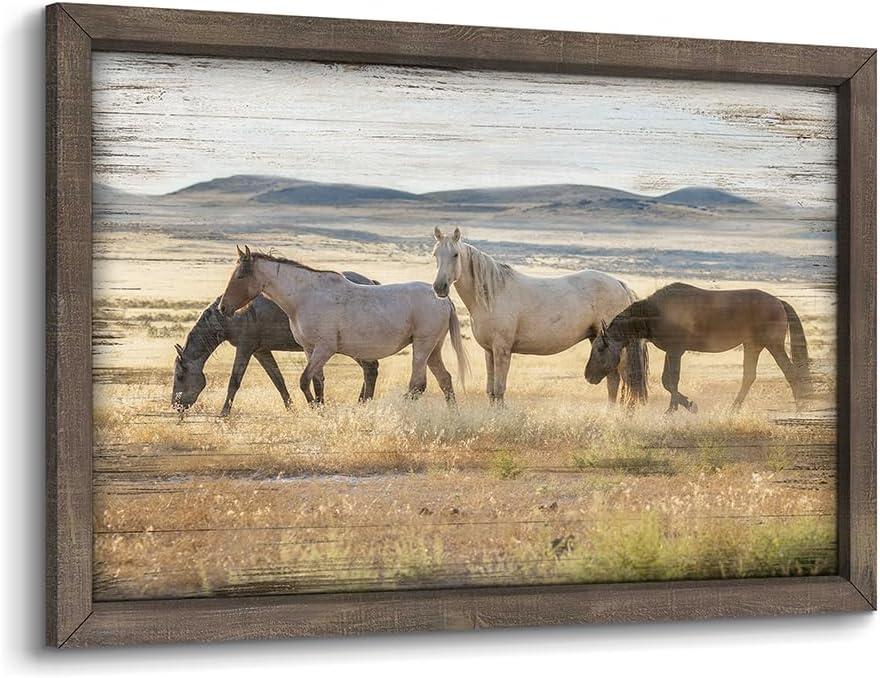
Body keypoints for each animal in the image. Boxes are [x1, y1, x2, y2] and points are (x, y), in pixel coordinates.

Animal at [173, 271, 380, 416]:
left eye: (180, 376)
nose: (176, 405)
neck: (231, 315)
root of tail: (371, 282)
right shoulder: (261, 351)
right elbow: (278, 380)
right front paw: (291, 409)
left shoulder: (245, 347)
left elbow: (234, 381)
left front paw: (224, 413)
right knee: (370, 369)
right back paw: (361, 403)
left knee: (370, 369)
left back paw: (363, 404)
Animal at [218, 246, 469, 405]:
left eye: (240, 276)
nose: (223, 307)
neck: (304, 297)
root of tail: (444, 299)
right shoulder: (310, 350)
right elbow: (316, 382)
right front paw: (319, 409)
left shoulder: (324, 349)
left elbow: (304, 381)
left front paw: (314, 407)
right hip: (433, 349)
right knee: (445, 380)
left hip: (422, 347)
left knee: (418, 385)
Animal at [431, 227, 648, 406]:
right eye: (435, 254)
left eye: (455, 254)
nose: (439, 287)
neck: (492, 295)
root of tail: (619, 284)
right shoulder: (489, 351)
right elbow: (491, 391)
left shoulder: (502, 350)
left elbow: (499, 390)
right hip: (599, 340)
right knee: (613, 380)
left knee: (624, 378)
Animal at [584, 282, 811, 412]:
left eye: (600, 350)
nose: (588, 375)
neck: (654, 312)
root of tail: (779, 302)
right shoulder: (671, 352)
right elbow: (668, 381)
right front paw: (682, 406)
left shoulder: (676, 352)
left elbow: (671, 381)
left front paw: (678, 409)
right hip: (752, 346)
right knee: (749, 376)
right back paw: (733, 409)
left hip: (773, 345)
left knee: (791, 373)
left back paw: (800, 407)